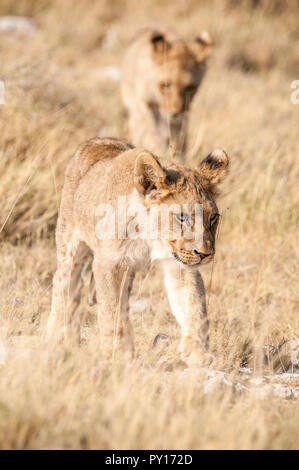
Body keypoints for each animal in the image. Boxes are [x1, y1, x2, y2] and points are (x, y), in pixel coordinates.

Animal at [46, 136, 230, 364]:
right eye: (182, 217)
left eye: (213, 217)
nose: (205, 254)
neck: (150, 235)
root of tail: (97, 140)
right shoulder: (108, 263)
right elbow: (111, 309)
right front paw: (118, 354)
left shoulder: (180, 263)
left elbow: (195, 305)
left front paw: (198, 352)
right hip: (69, 244)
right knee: (64, 286)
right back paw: (57, 338)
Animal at [120, 28, 212, 158]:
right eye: (165, 85)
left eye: (190, 87)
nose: (176, 113)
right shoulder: (144, 107)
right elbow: (151, 136)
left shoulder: (181, 118)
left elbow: (179, 140)